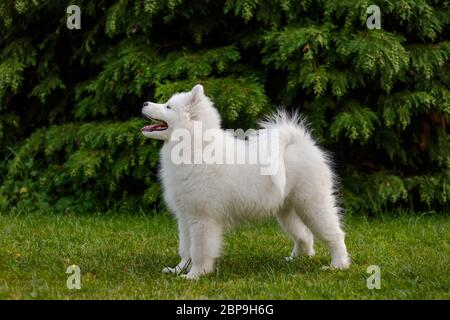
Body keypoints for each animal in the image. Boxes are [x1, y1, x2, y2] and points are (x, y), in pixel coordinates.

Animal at [142, 85, 350, 280]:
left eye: (168, 106)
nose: (144, 103)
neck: (196, 148)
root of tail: (301, 143)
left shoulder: (203, 219)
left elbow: (199, 251)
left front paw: (195, 275)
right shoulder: (185, 217)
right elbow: (185, 249)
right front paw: (178, 270)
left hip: (313, 205)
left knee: (334, 234)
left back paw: (338, 265)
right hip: (287, 210)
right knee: (304, 235)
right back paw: (296, 259)